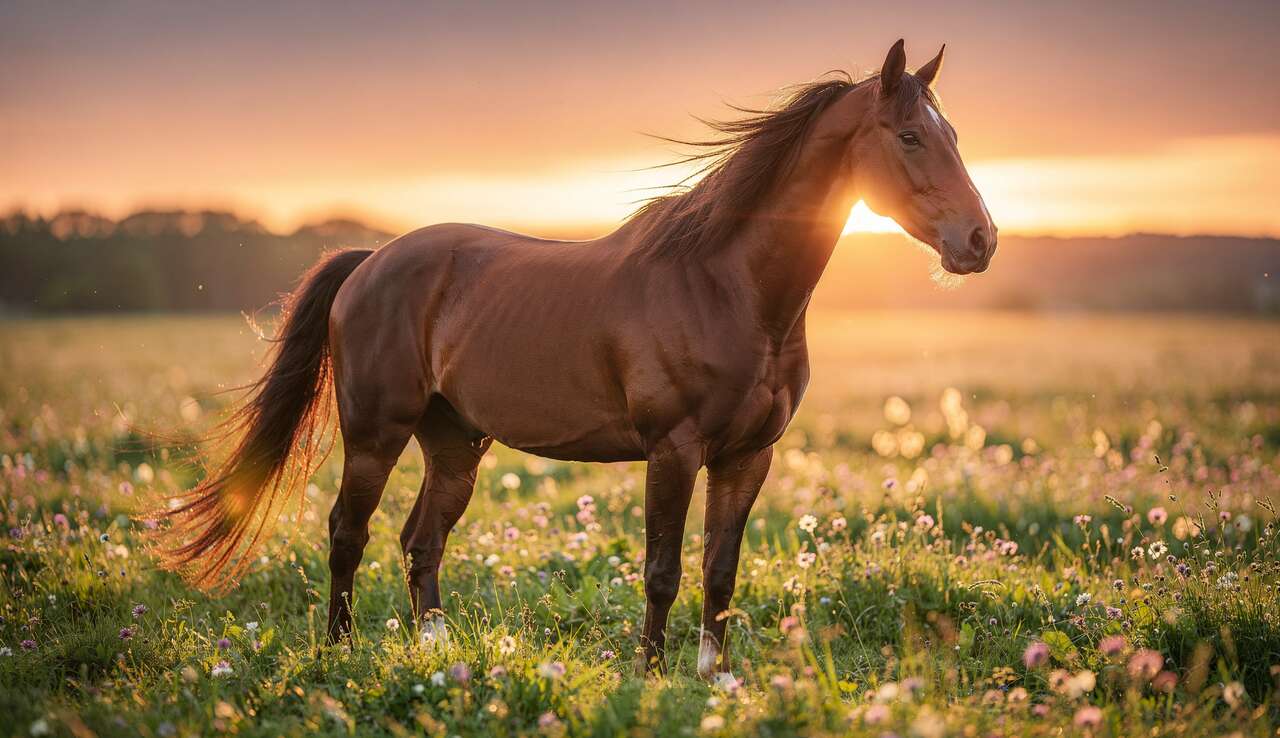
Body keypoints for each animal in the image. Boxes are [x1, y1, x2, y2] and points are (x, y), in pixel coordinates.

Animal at [160, 39, 996, 680]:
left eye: (955, 135)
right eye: (909, 136)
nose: (980, 241)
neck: (729, 287)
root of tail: (371, 262)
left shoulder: (748, 455)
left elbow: (720, 571)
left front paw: (716, 678)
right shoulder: (674, 449)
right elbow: (662, 571)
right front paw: (652, 677)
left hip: (455, 442)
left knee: (420, 542)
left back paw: (437, 655)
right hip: (376, 434)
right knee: (347, 533)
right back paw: (339, 653)